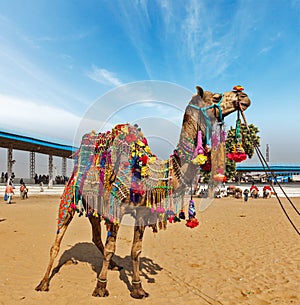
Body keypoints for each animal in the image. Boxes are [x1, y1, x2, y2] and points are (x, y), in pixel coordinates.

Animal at [35, 85, 251, 296]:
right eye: (216, 97)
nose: (243, 96)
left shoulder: (142, 212)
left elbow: (136, 250)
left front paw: (138, 288)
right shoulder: (116, 209)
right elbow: (111, 247)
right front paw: (101, 287)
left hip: (93, 206)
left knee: (96, 237)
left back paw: (114, 266)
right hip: (71, 195)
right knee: (58, 239)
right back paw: (43, 283)